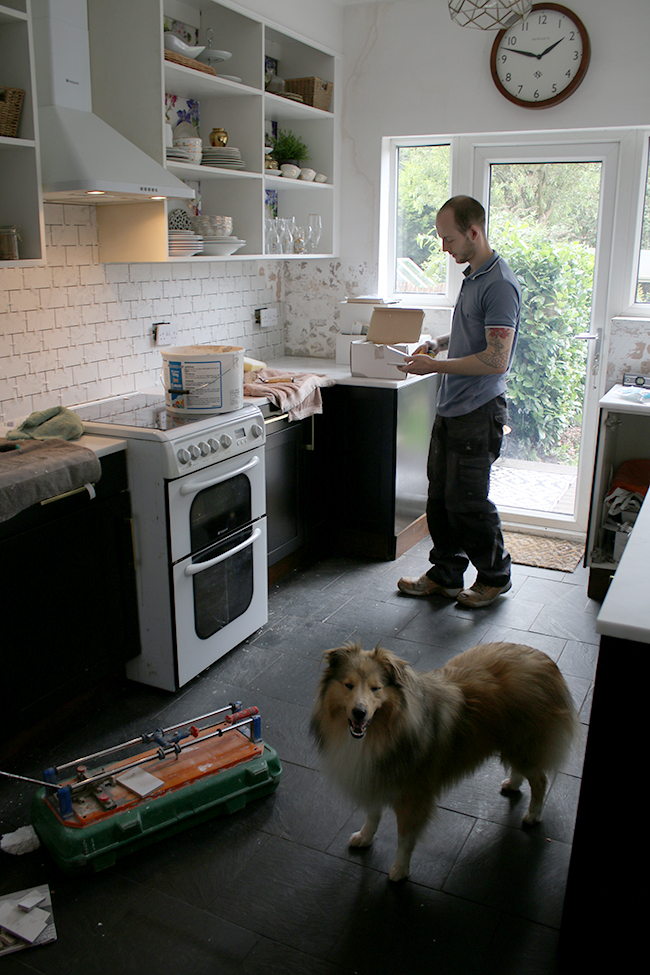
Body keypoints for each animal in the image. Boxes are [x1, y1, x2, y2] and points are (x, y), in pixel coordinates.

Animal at [308, 644, 576, 880]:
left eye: (376, 688)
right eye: (348, 685)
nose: (359, 713)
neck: (383, 733)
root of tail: (545, 661)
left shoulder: (413, 796)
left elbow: (405, 837)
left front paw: (399, 870)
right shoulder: (378, 778)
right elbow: (373, 815)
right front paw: (365, 837)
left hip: (522, 744)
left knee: (540, 780)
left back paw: (533, 815)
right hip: (510, 741)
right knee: (522, 771)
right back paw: (512, 783)